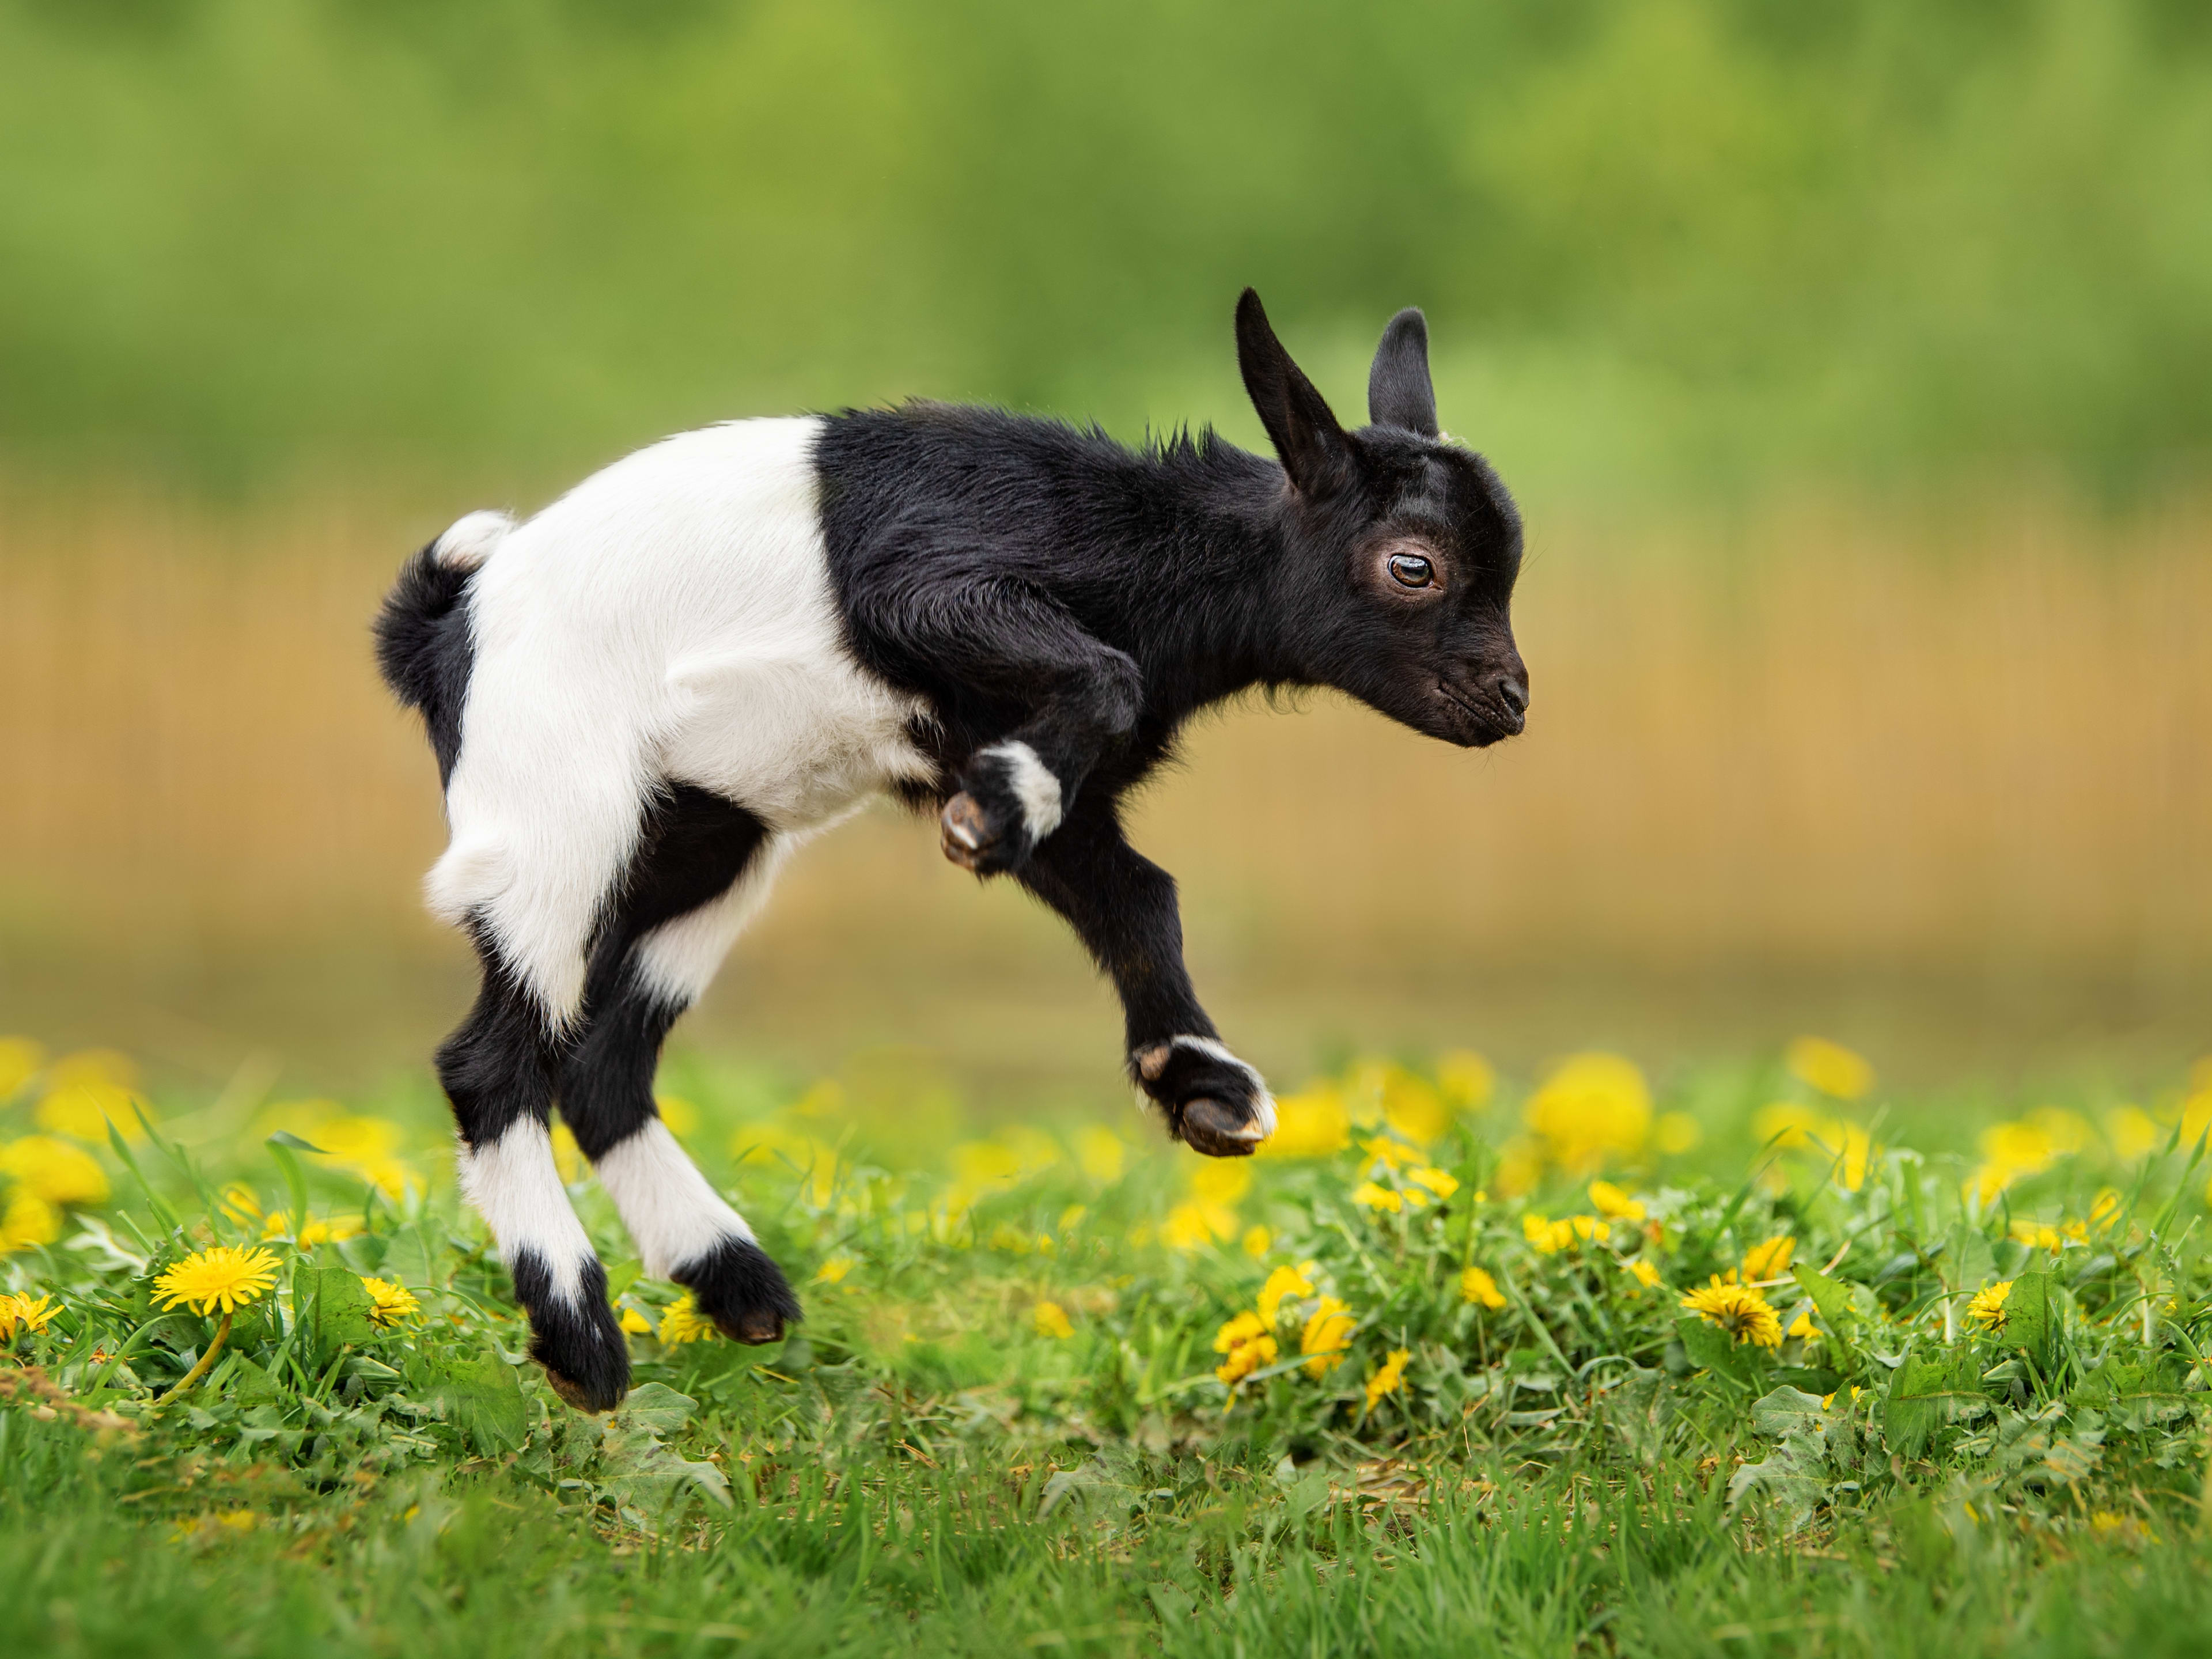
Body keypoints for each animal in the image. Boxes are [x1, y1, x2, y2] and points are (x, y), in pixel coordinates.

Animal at [375, 291, 1527, 1410]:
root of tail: (442, 630)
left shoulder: (1018, 771)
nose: (1512, 704)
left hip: (705, 838)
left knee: (604, 1060)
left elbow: (1142, 895)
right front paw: (999, 825)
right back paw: (581, 1335)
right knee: (491, 1062)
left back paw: (735, 1281)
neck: (1147, 550)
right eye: (1414, 567)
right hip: (557, 817)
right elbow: (1104, 682)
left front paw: (1196, 1081)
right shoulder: (929, 584)